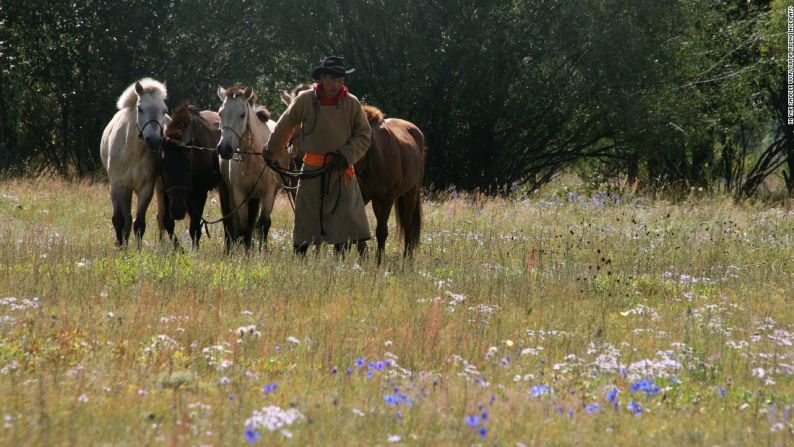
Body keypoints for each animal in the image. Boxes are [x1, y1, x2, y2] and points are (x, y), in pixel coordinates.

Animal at [100, 79, 169, 248]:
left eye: (164, 110)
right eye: (140, 108)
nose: (154, 140)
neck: (132, 152)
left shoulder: (146, 188)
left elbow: (139, 223)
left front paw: (137, 251)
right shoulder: (118, 186)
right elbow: (119, 220)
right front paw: (120, 248)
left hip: (160, 185)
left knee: (161, 216)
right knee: (126, 219)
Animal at [159, 104, 230, 250]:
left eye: (188, 166)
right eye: (164, 167)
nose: (178, 210)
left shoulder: (200, 192)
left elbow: (195, 228)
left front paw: (194, 251)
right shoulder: (166, 191)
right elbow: (168, 222)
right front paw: (178, 249)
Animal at [217, 85, 288, 252]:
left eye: (242, 115)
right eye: (220, 113)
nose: (224, 148)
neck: (253, 158)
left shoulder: (268, 193)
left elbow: (263, 224)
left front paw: (261, 253)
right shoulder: (239, 194)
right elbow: (244, 228)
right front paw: (247, 253)